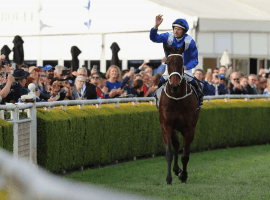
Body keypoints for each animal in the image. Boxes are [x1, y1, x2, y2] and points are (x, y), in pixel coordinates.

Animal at [160, 43, 200, 184]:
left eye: (182, 63)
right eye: (167, 62)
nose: (175, 86)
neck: (176, 99)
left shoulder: (189, 128)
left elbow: (185, 156)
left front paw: (183, 176)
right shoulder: (166, 125)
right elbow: (169, 153)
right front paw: (168, 179)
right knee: (176, 144)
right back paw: (176, 170)